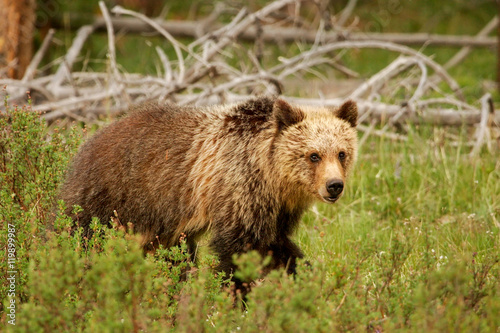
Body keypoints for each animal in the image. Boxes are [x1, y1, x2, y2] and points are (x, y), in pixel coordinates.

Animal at [59, 96, 356, 286]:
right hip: (112, 194)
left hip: (162, 223)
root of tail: (92, 137)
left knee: (173, 257)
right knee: (80, 236)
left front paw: (307, 278)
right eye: (314, 155)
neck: (272, 177)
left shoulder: (277, 210)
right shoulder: (237, 190)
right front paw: (235, 296)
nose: (334, 185)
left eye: (342, 153)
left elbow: (279, 247)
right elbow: (237, 251)